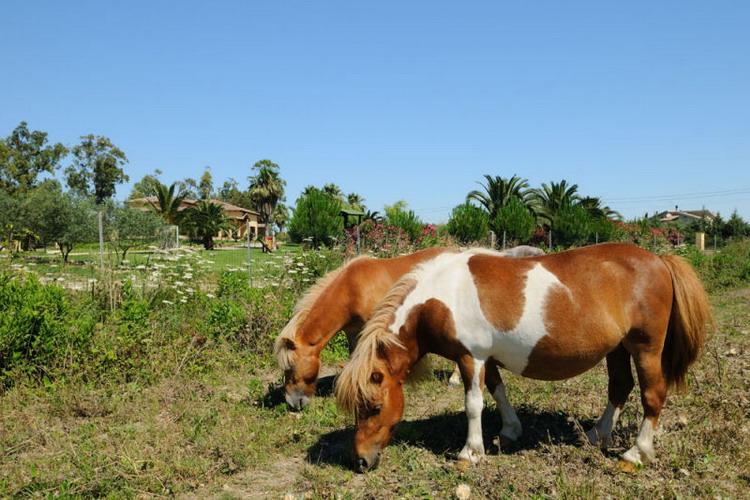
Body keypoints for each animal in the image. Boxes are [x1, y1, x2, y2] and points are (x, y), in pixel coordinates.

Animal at [338, 244, 712, 470]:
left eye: (373, 407)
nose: (360, 461)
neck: (441, 299)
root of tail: (659, 260)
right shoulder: (486, 358)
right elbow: (497, 391)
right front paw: (509, 431)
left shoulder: (471, 357)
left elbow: (473, 404)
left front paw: (470, 452)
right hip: (617, 349)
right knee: (620, 387)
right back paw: (596, 435)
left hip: (645, 347)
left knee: (652, 395)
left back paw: (636, 453)